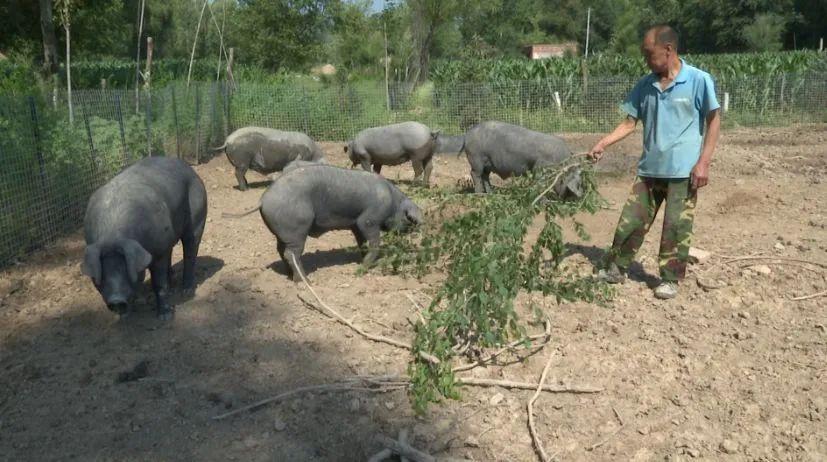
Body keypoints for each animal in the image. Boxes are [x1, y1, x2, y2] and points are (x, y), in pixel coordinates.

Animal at [81, 157, 207, 320]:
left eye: (125, 268)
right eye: (103, 272)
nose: (116, 300)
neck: (114, 236)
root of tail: (190, 169)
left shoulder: (159, 252)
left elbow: (159, 284)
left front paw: (165, 317)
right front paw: (125, 316)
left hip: (198, 214)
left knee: (191, 248)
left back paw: (186, 291)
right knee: (172, 251)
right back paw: (172, 286)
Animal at [225, 166, 420, 282]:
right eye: (408, 219)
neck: (393, 202)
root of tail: (263, 199)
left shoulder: (355, 225)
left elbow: (362, 243)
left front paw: (360, 260)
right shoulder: (368, 220)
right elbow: (373, 242)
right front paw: (362, 268)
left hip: (283, 232)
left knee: (281, 250)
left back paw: (290, 275)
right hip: (297, 229)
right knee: (291, 253)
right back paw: (305, 281)